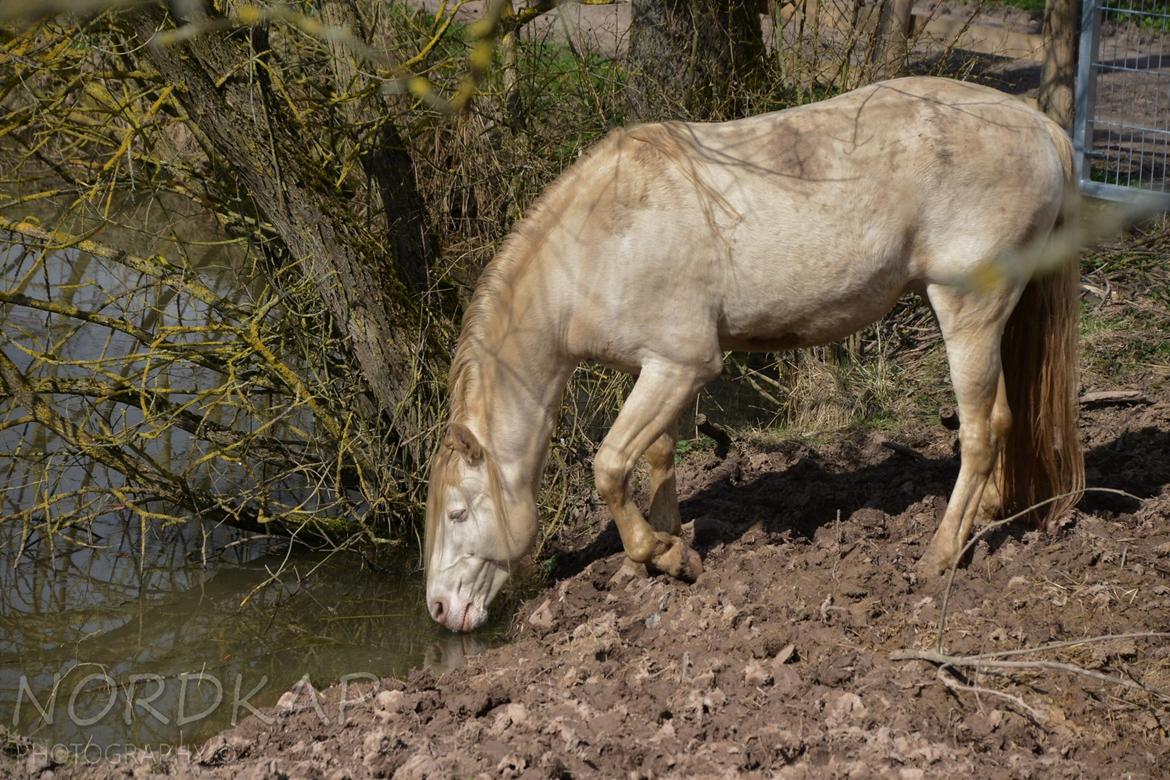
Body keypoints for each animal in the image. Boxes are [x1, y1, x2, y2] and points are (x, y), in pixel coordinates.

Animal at [421, 76, 1076, 631]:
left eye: (457, 513)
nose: (439, 607)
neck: (600, 241)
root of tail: (1040, 125)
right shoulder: (657, 369)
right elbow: (658, 458)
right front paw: (661, 551)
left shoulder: (683, 366)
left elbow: (608, 466)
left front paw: (661, 555)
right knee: (1002, 420)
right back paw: (982, 518)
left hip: (967, 310)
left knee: (978, 432)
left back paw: (939, 554)